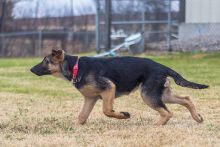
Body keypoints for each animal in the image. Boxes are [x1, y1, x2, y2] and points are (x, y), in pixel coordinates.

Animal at [30, 48, 208, 124]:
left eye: (46, 61)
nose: (31, 69)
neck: (75, 67)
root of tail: (162, 66)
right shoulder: (90, 98)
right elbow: (81, 116)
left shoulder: (109, 88)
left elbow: (107, 111)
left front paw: (123, 115)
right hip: (162, 94)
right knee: (186, 99)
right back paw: (197, 118)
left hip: (148, 95)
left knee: (167, 112)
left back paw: (157, 126)